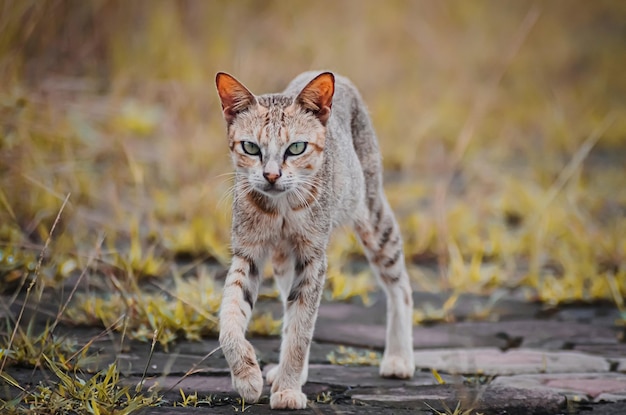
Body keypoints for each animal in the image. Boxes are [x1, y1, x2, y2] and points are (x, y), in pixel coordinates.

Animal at [216, 70, 414, 410]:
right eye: (251, 148)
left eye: (296, 148)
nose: (271, 176)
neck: (280, 206)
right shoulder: (248, 251)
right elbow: (230, 318)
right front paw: (246, 377)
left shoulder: (313, 256)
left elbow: (302, 328)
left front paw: (288, 391)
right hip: (283, 258)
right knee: (289, 304)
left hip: (372, 214)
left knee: (399, 285)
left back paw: (400, 358)